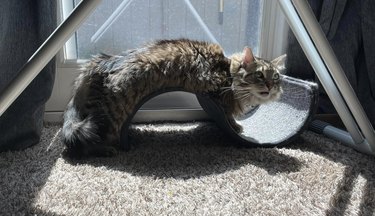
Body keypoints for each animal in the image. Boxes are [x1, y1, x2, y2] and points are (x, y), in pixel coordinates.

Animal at [61, 38, 286, 159]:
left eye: (276, 77)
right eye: (260, 75)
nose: (270, 86)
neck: (228, 73)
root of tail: (100, 62)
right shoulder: (218, 96)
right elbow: (229, 116)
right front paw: (237, 127)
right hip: (112, 112)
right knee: (78, 143)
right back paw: (105, 150)